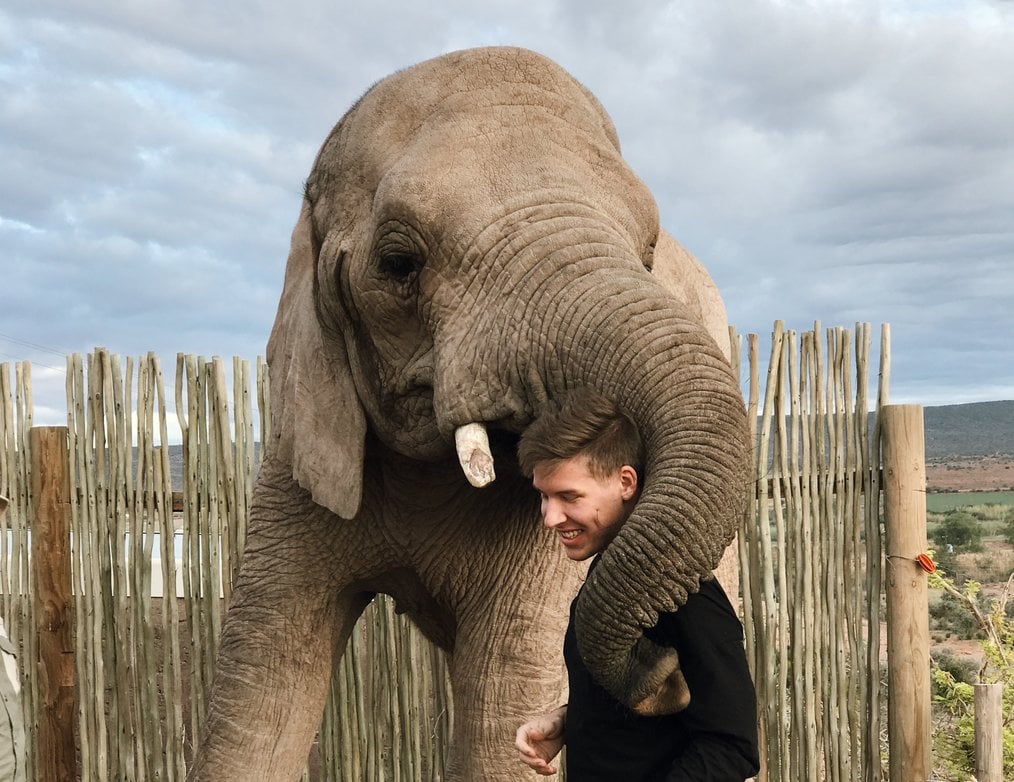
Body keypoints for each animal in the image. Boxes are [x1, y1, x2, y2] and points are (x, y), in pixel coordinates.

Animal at [189, 46, 750, 781]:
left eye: (647, 252)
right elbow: (256, 698)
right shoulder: (301, 447)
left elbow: (500, 707)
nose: (667, 663)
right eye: (399, 263)